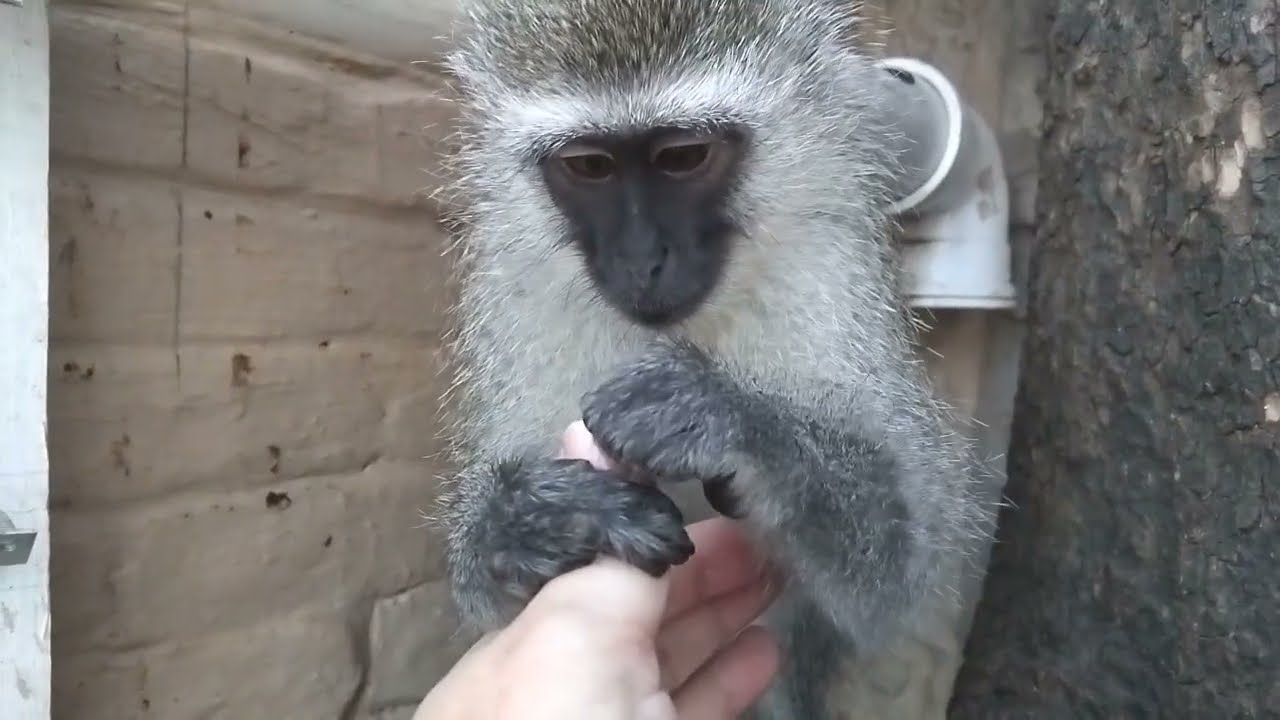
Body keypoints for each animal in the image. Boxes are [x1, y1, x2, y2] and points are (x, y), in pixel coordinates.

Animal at [434, 1, 993, 716]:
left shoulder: (835, 279)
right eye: (590, 167)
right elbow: (487, 605)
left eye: (682, 156)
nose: (642, 260)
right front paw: (523, 520)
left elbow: (897, 576)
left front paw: (728, 418)